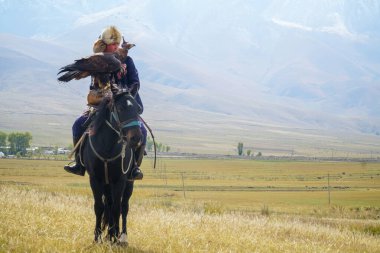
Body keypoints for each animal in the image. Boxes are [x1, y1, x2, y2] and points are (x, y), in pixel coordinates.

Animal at [81, 87, 142, 243]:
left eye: (138, 109)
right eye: (120, 108)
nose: (136, 138)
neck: (107, 146)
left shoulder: (120, 180)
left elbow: (117, 208)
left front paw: (115, 236)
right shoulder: (95, 179)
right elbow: (99, 207)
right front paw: (97, 237)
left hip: (129, 183)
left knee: (123, 207)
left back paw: (122, 236)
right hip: (107, 184)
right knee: (108, 205)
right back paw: (109, 234)